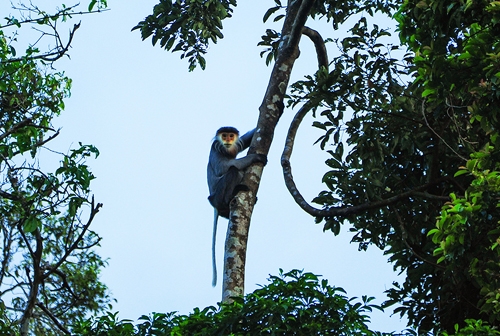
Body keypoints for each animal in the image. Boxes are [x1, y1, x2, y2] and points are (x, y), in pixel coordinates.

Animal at [207, 126, 268, 286]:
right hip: (218, 196)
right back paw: (230, 198)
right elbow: (223, 168)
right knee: (233, 170)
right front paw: (256, 158)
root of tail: (213, 202)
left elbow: (247, 139)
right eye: (224, 135)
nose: (228, 140)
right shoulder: (215, 149)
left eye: (231, 135)